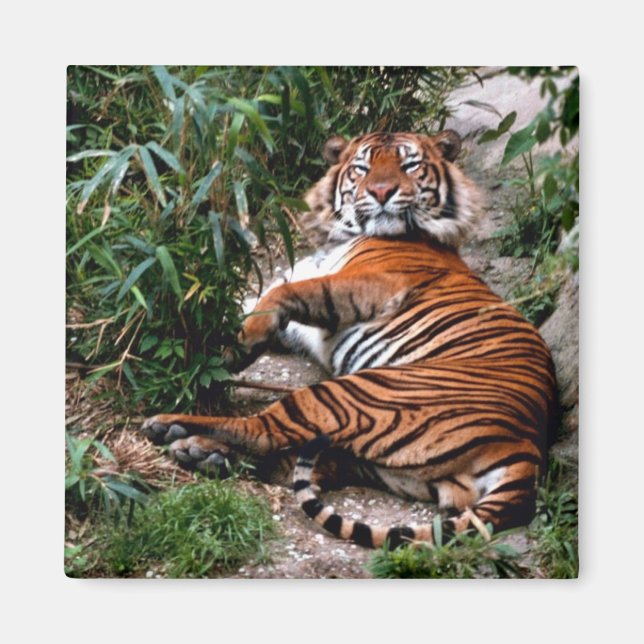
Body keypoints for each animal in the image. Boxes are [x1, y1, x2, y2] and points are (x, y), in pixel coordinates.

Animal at [142, 130, 559, 550]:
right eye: (363, 167)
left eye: (410, 165)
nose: (381, 191)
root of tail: (525, 448)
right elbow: (255, 302)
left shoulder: (373, 283)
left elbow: (280, 296)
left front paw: (233, 346)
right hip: (397, 467)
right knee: (305, 460)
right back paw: (202, 453)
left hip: (351, 393)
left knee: (263, 432)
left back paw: (172, 428)